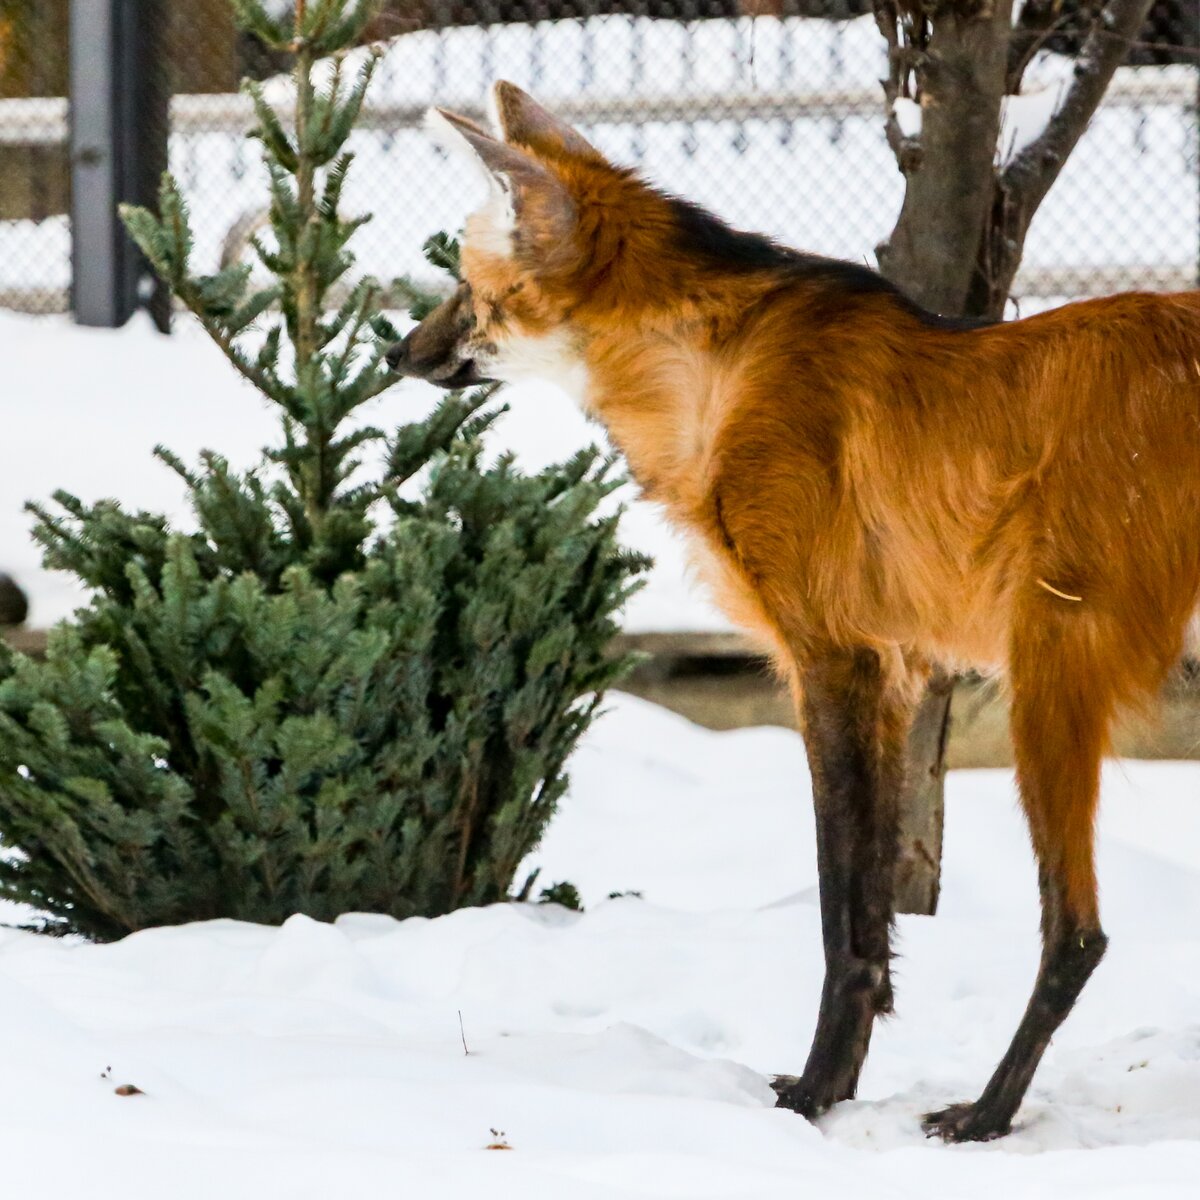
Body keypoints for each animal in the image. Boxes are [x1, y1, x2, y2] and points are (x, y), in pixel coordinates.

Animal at [388, 84, 1200, 1142]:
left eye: (462, 281)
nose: (399, 349)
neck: (707, 381)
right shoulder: (890, 670)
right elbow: (872, 915)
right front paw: (841, 1085)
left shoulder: (832, 658)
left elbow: (841, 915)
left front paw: (815, 1097)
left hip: (1049, 680)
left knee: (1079, 934)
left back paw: (985, 1113)